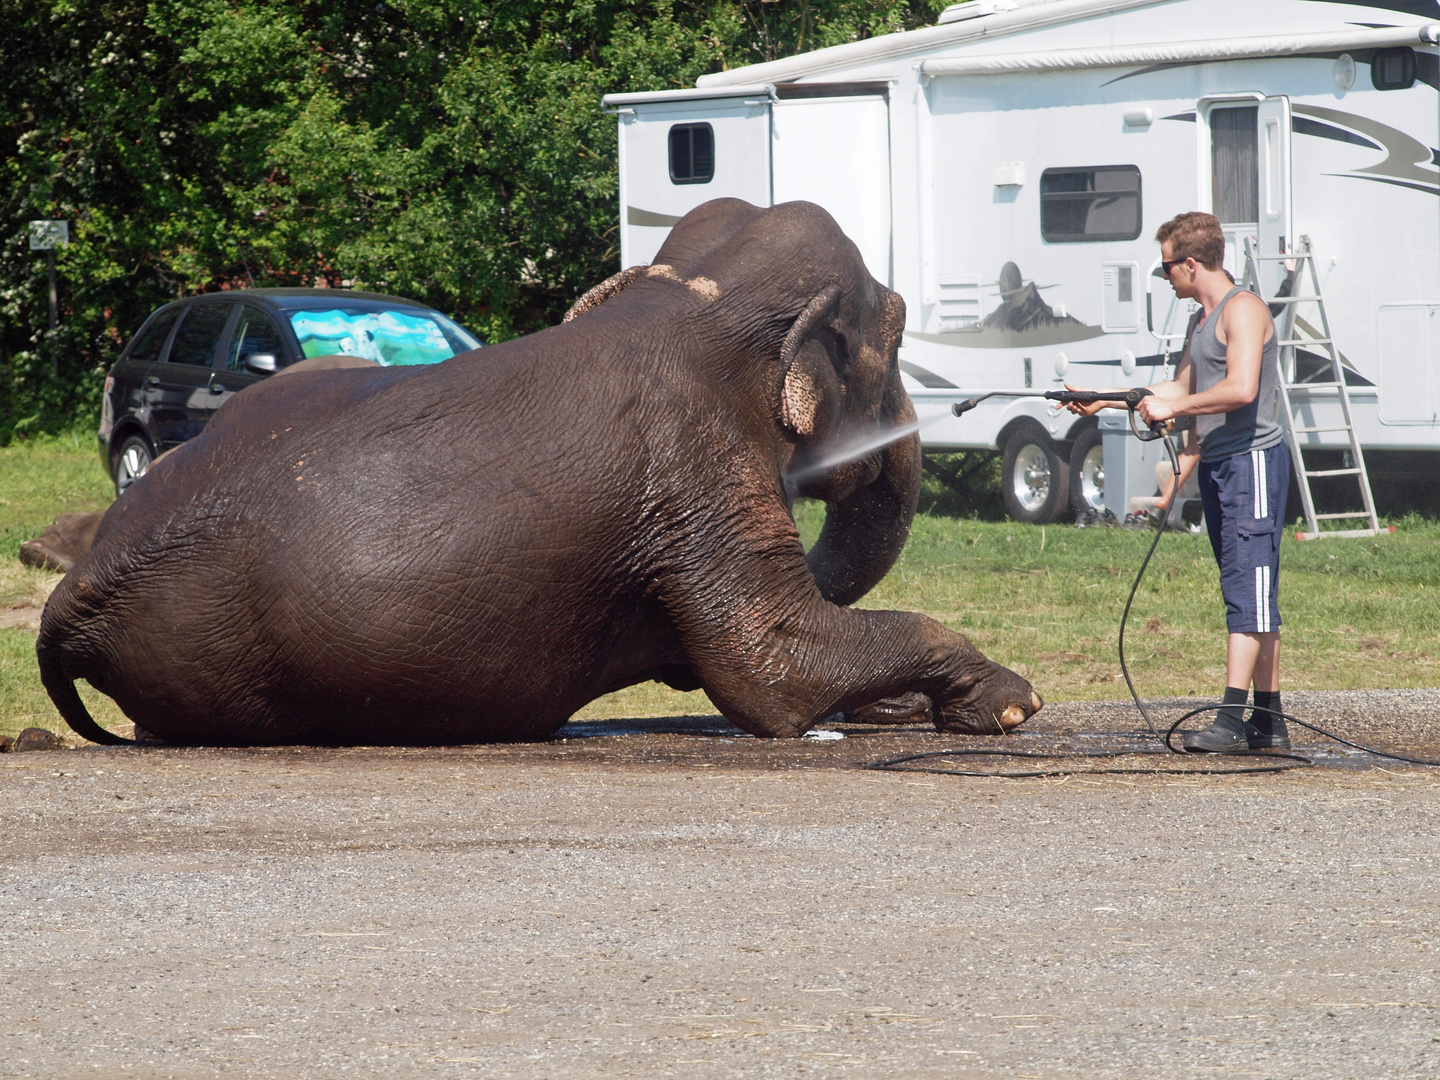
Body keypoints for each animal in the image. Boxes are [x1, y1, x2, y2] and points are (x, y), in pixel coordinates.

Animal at [39, 198, 1042, 743]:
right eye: (899, 330)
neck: (697, 296)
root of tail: (78, 583)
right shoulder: (701, 467)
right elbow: (770, 668)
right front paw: (1009, 702)